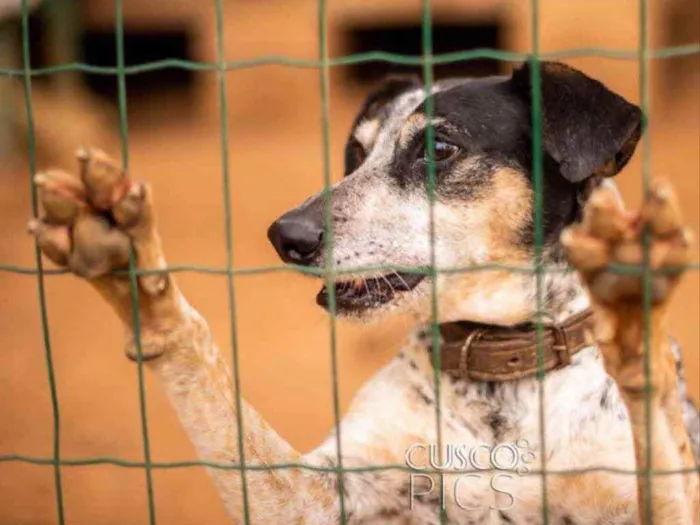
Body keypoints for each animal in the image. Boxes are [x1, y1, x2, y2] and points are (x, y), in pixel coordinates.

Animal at [28, 62, 700, 524]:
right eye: (357, 151)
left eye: (437, 148)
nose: (285, 236)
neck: (497, 370)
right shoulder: (310, 496)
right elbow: (217, 394)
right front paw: (126, 258)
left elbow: (661, 447)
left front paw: (631, 313)